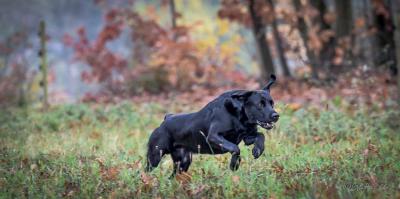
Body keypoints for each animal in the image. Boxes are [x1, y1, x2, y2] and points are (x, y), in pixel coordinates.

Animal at [145, 74, 280, 174]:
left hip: (183, 161)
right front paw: (234, 164)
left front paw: (257, 150)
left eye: (272, 103)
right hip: (155, 156)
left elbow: (260, 135)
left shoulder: (247, 137)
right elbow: (235, 148)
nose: (276, 115)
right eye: (260, 104)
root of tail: (166, 120)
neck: (239, 117)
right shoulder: (213, 136)